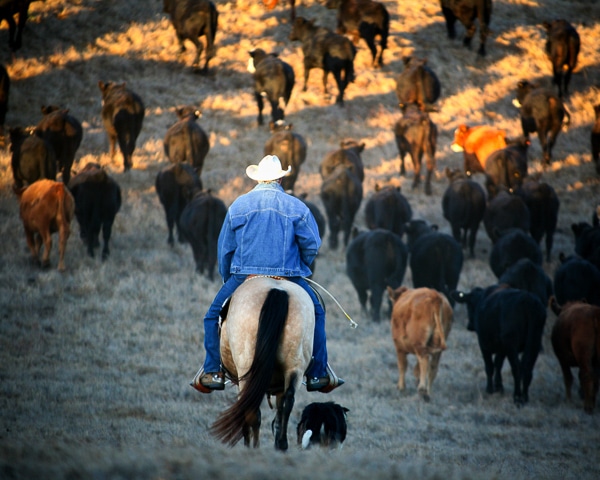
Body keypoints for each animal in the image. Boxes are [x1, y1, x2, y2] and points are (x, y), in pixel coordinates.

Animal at [210, 278, 314, 450]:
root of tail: (277, 290)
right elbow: (279, 411)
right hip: (295, 365)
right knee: (288, 401)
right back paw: (282, 444)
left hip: (246, 369)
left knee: (250, 408)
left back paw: (254, 447)